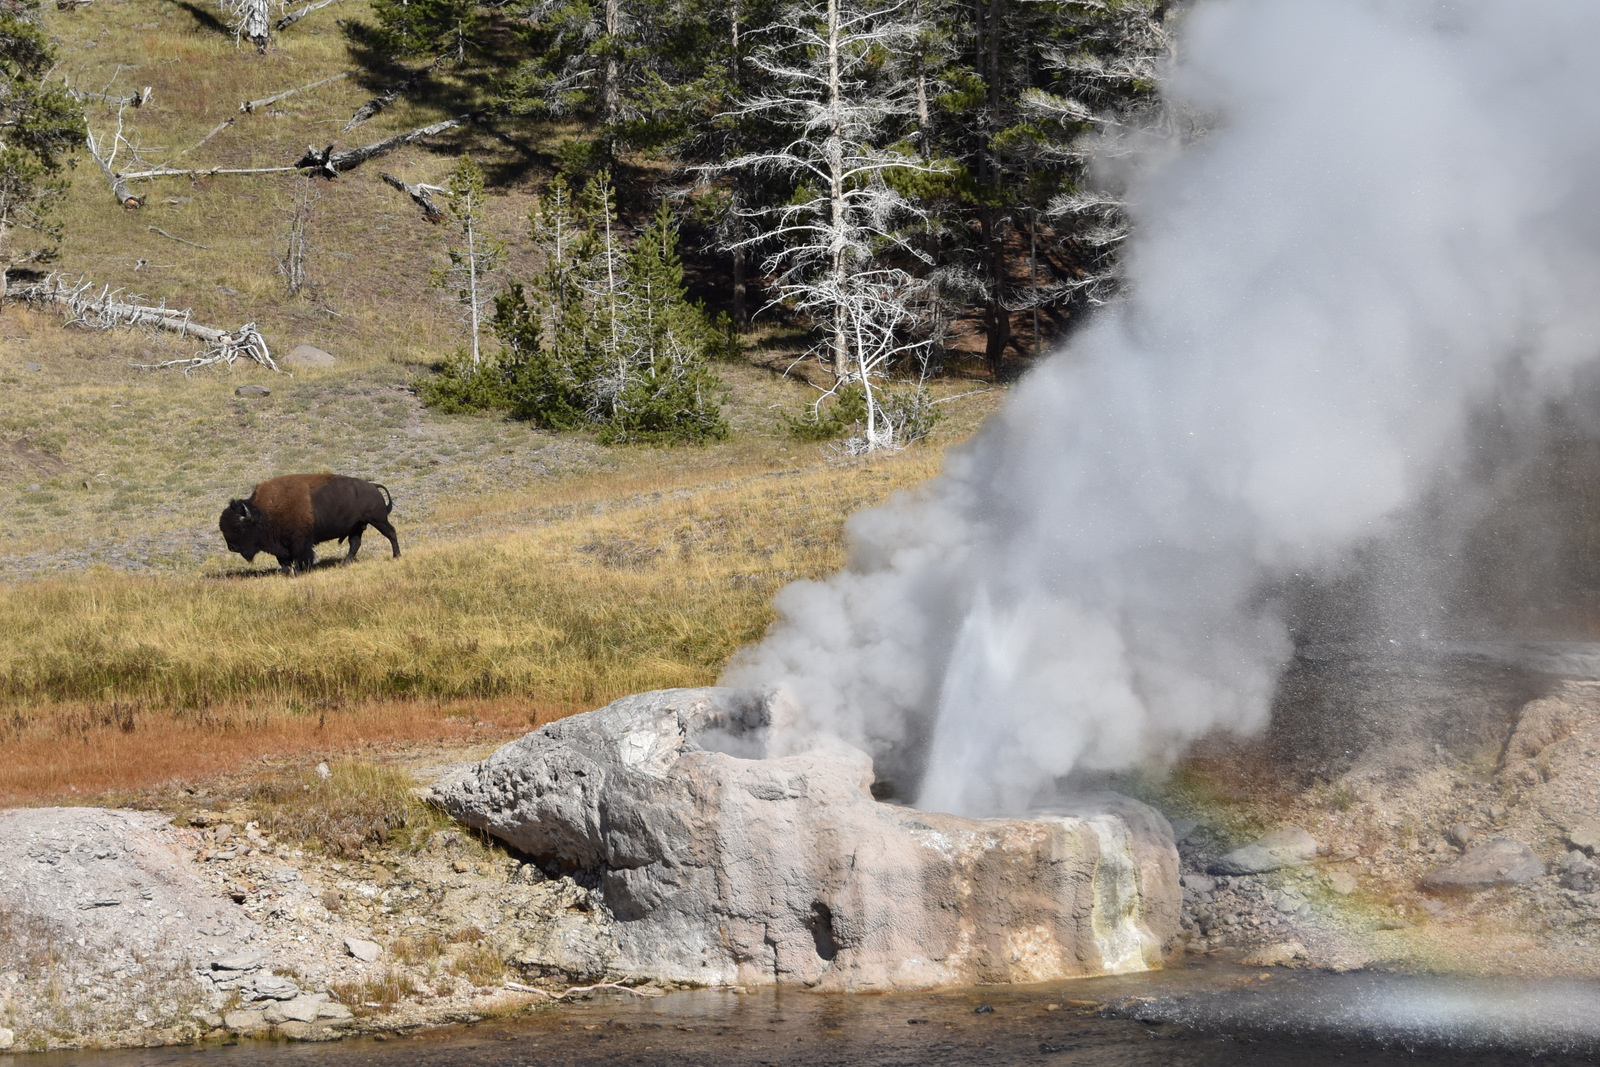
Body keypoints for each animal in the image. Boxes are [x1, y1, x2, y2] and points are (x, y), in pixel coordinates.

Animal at [219, 476, 400, 575]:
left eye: (239, 527)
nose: (232, 547)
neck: (263, 512)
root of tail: (373, 486)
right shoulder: (281, 546)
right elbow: (284, 561)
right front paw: (289, 573)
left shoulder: (300, 542)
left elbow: (302, 558)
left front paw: (301, 572)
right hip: (356, 527)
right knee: (355, 543)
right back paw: (344, 564)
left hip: (378, 520)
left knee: (391, 533)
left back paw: (396, 556)